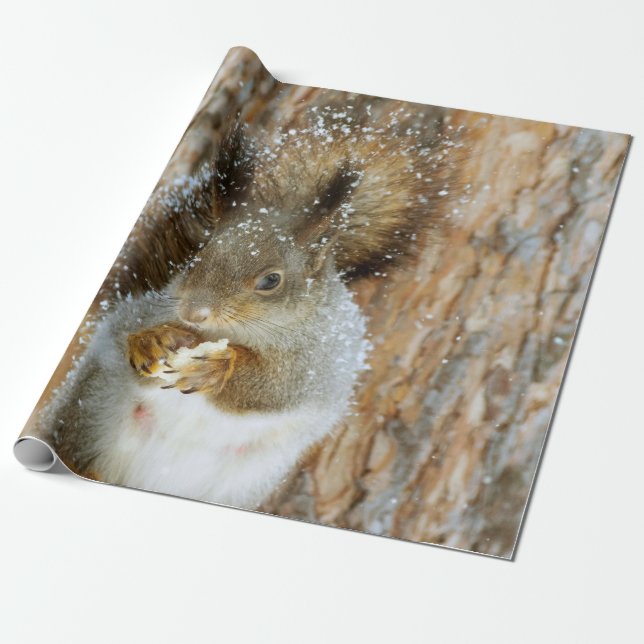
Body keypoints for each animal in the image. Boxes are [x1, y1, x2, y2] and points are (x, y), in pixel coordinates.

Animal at [40, 105, 459, 508]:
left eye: (271, 281)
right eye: (199, 254)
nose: (193, 313)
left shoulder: (318, 364)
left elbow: (272, 389)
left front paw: (219, 368)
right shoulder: (149, 306)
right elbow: (127, 329)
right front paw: (150, 342)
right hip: (93, 407)